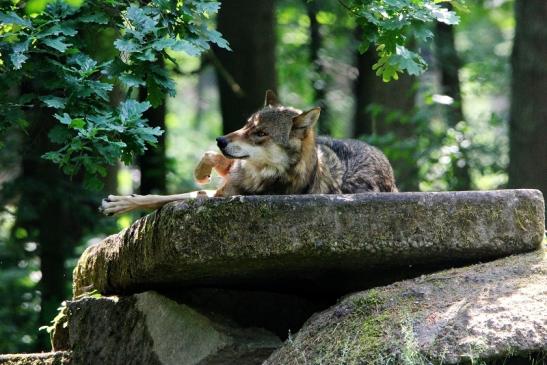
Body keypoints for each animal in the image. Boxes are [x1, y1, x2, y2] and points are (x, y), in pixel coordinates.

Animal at [99, 90, 398, 215]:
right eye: (247, 125)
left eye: (261, 134)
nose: (220, 140)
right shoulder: (224, 183)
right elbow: (166, 192)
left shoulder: (221, 196)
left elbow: (170, 198)